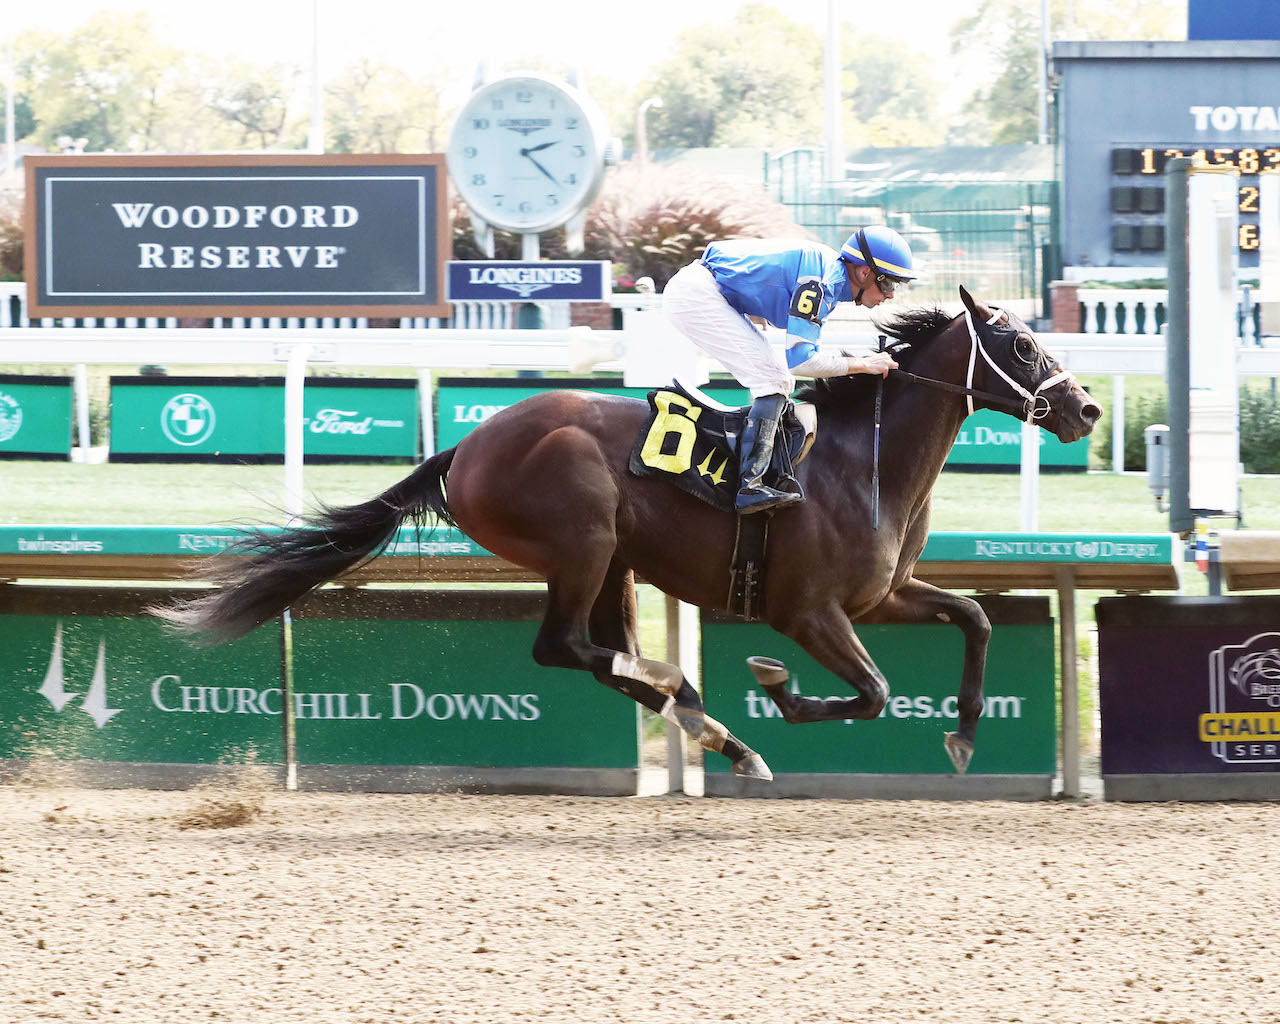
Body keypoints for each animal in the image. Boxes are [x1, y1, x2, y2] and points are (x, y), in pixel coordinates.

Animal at [157, 288, 1100, 783]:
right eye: (1020, 343)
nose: (1086, 408)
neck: (856, 463)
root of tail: (470, 443)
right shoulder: (807, 611)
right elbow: (869, 692)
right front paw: (775, 686)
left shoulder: (885, 594)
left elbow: (975, 617)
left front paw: (964, 733)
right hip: (583, 542)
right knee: (566, 647)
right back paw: (689, 697)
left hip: (614, 561)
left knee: (592, 652)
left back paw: (711, 728)